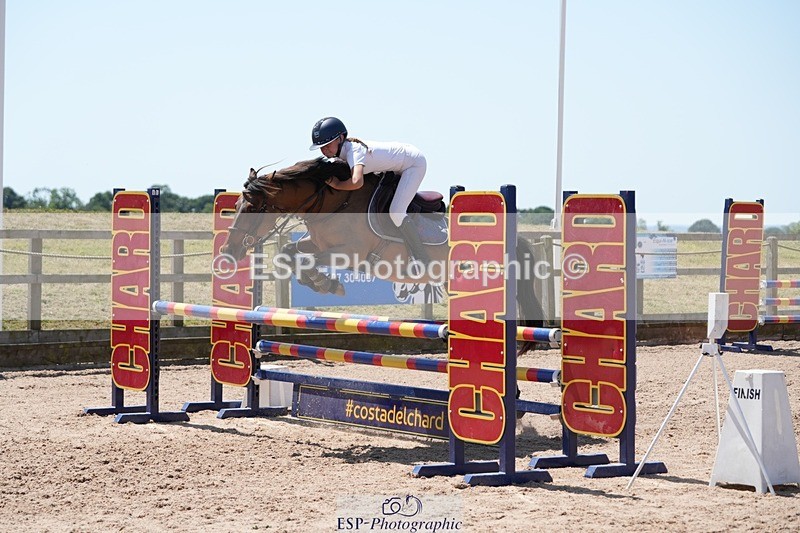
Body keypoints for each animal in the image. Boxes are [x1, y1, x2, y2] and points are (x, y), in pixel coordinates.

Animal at [220, 157, 545, 352]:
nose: (229, 251)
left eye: (252, 208)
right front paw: (323, 283)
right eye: (235, 206)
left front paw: (327, 283)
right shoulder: (316, 243)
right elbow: (288, 254)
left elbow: (305, 261)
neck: (333, 203)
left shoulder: (348, 253)